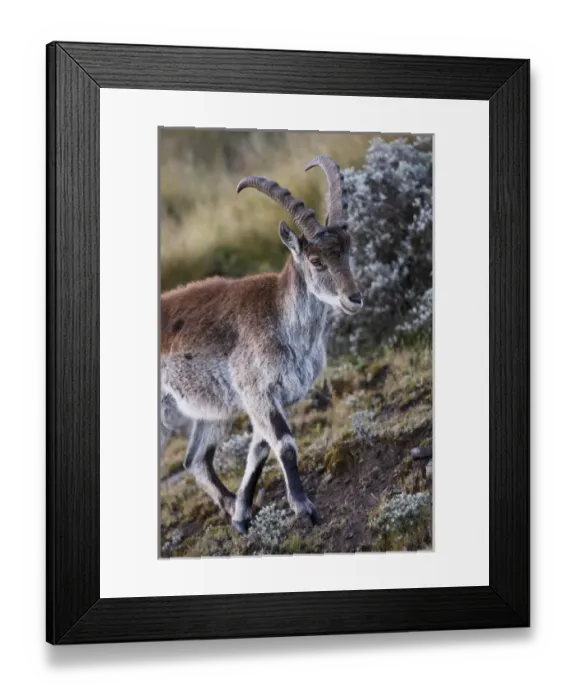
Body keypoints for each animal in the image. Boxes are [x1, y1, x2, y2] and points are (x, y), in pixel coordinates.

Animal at [160, 156, 362, 533]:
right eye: (316, 261)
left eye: (347, 252)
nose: (353, 299)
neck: (283, 324)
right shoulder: (257, 392)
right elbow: (284, 444)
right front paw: (304, 508)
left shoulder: (276, 398)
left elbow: (260, 449)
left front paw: (242, 515)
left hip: (214, 411)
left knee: (195, 459)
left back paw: (227, 505)